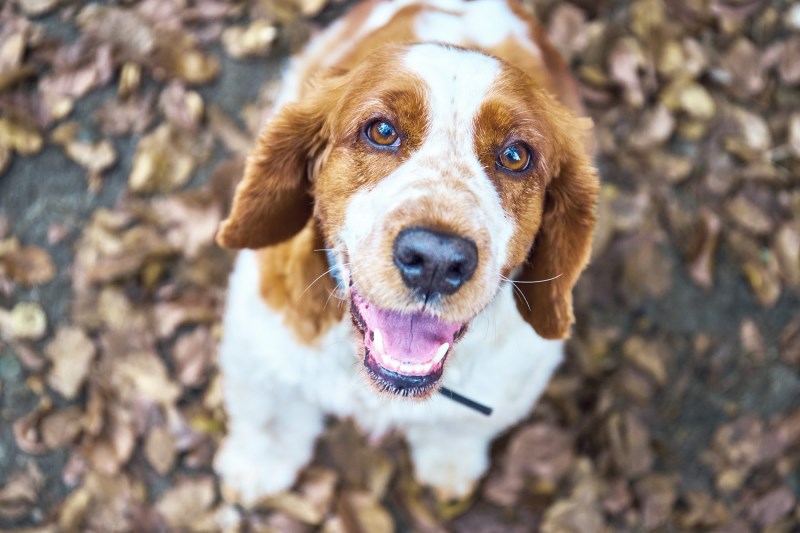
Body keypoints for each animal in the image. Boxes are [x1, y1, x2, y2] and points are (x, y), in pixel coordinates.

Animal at [212, 0, 600, 502]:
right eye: (381, 130)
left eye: (516, 156)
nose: (436, 259)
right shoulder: (262, 341)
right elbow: (269, 415)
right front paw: (256, 467)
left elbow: (458, 427)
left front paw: (449, 466)